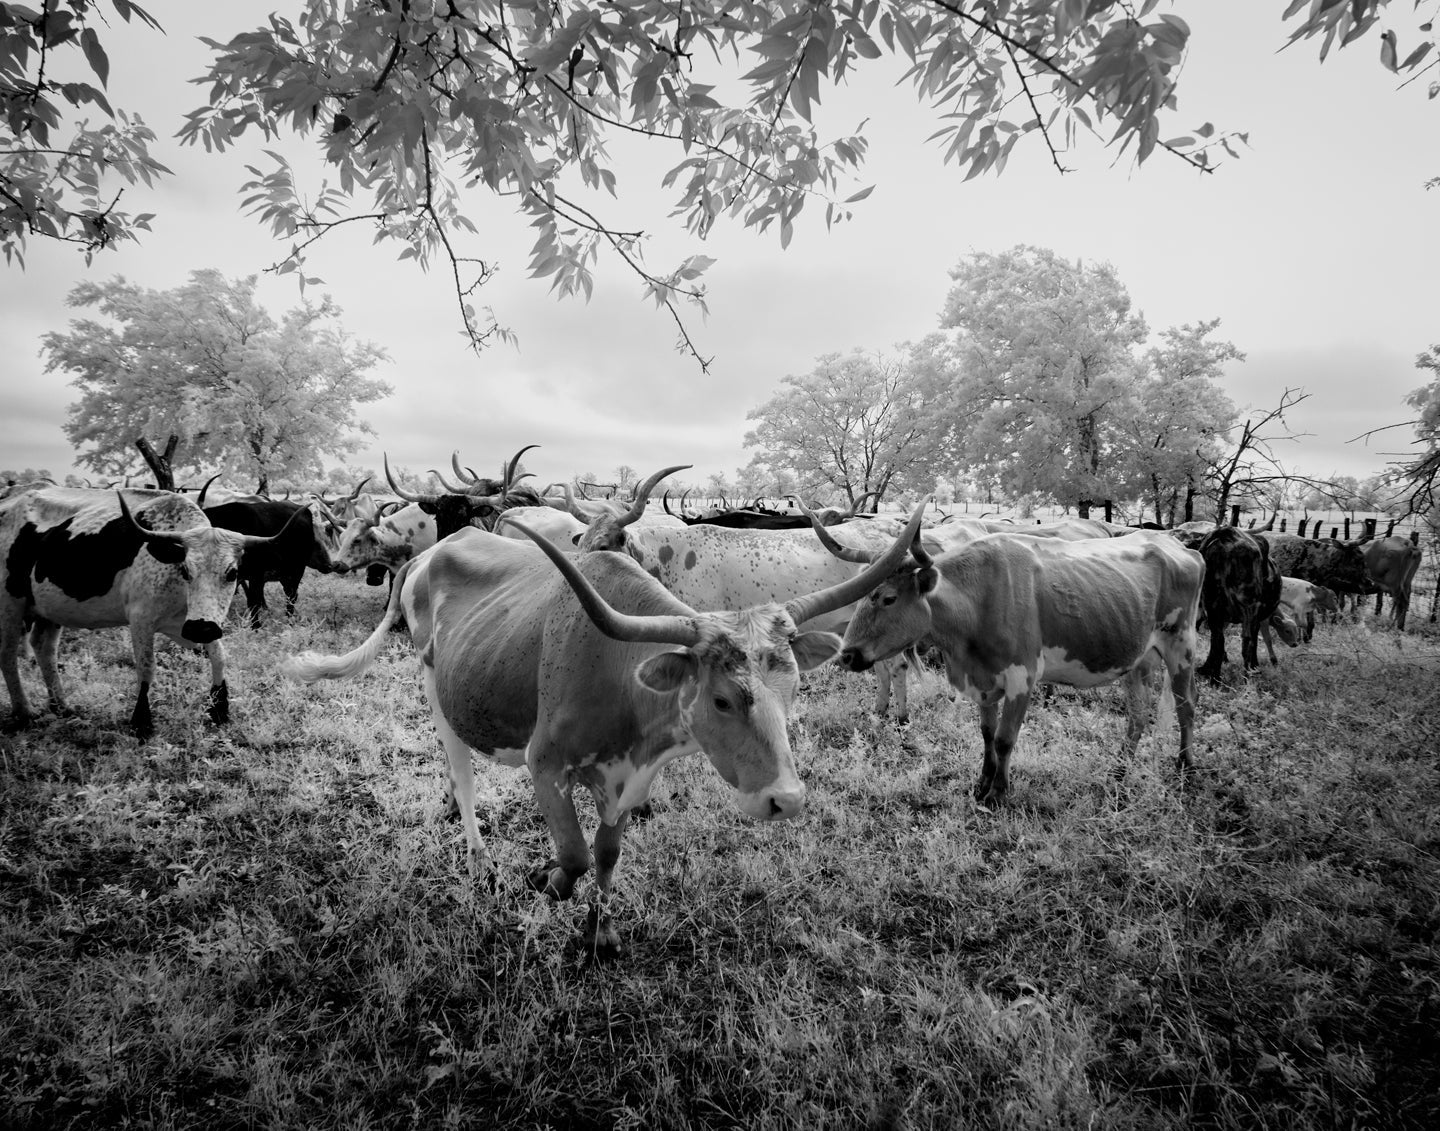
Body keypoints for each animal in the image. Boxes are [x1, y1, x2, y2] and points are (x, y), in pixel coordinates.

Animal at [0, 488, 286, 737]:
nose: (201, 628)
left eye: (232, 573)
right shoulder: (142, 620)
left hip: (48, 611)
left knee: (44, 648)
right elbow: (147, 667)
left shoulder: (189, 624)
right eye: (186, 570)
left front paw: (219, 709)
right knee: (8, 654)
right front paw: (141, 722)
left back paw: (61, 706)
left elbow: (219, 656)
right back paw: (24, 711)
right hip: (10, 605)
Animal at [282, 503, 929, 956]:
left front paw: (599, 932)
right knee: (461, 772)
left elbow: (607, 853)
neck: (622, 676)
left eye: (792, 689)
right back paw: (477, 857)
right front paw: (541, 891)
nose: (786, 799)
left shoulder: (628, 780)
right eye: (722, 700)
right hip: (435, 687)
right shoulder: (546, 766)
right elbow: (570, 857)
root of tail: (430, 553)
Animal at [828, 529, 1204, 805]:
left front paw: (998, 792)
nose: (846, 655)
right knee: (1138, 715)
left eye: (889, 598)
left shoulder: (1022, 677)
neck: (978, 601)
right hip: (1138, 659)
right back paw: (1119, 773)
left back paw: (1186, 768)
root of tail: (1181, 547)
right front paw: (982, 781)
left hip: (1181, 645)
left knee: (1186, 705)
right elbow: (987, 733)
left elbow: (1006, 738)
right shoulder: (984, 680)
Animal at [1195, 526, 1284, 678]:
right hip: (1248, 604)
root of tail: (1225, 532)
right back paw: (1248, 674)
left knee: (1217, 639)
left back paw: (1214, 676)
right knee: (1246, 640)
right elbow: (1253, 638)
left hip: (1213, 605)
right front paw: (1255, 666)